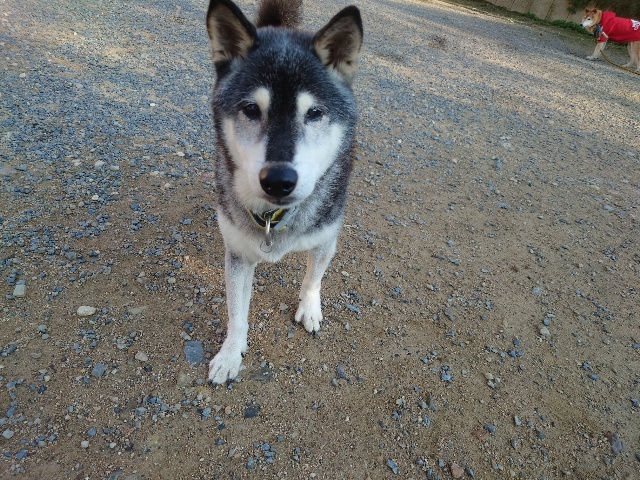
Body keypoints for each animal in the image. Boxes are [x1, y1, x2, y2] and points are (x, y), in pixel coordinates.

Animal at [204, 0, 363, 384]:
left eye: (315, 113)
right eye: (251, 109)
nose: (278, 179)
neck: (275, 219)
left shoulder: (326, 237)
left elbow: (313, 279)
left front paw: (310, 308)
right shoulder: (237, 253)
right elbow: (236, 311)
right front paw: (231, 354)